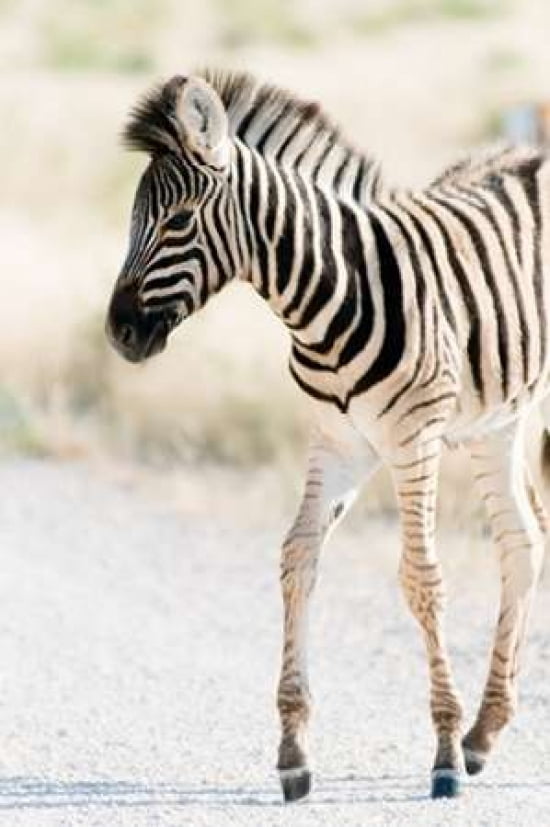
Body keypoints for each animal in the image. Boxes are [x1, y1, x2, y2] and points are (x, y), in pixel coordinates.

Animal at [105, 70, 550, 801]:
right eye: (133, 220)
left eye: (177, 221)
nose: (118, 334)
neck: (330, 296)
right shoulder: (339, 443)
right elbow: (297, 559)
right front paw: (293, 749)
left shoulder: (413, 439)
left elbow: (421, 577)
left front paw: (443, 752)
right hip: (501, 421)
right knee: (522, 540)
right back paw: (486, 731)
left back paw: (472, 736)